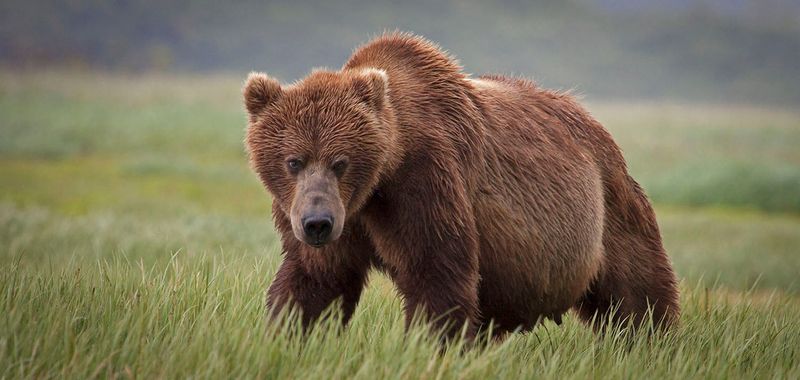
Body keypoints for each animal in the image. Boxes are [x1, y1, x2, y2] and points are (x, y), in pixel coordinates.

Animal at [242, 32, 676, 338]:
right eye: (294, 161)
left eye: (340, 162)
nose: (317, 223)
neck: (376, 182)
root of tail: (593, 121)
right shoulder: (341, 219)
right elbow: (315, 280)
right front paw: (286, 335)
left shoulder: (425, 180)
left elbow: (437, 274)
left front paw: (425, 346)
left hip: (607, 210)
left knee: (636, 295)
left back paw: (655, 342)